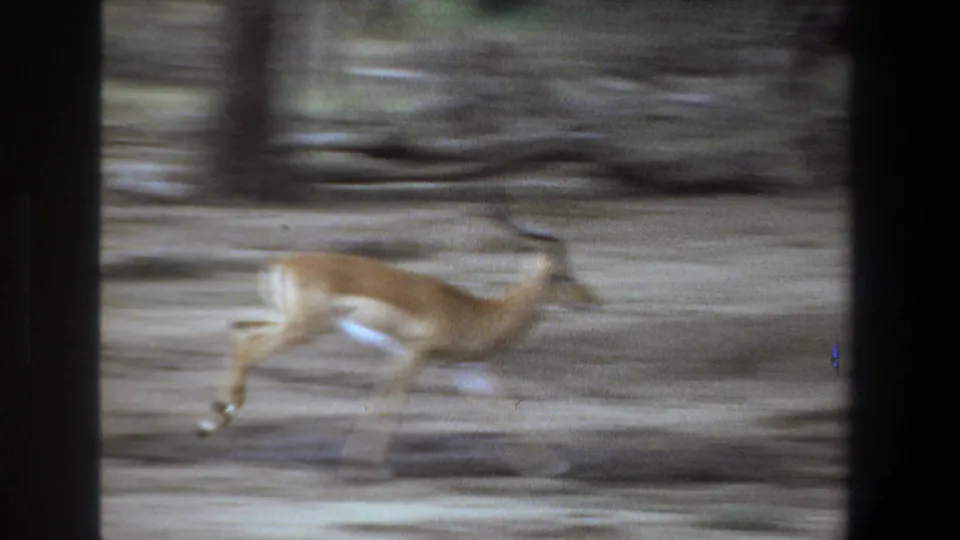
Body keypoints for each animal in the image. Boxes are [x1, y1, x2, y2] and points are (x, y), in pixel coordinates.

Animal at [196, 201, 601, 477]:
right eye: (563, 275)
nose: (593, 300)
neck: (476, 312)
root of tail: (281, 263)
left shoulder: (466, 368)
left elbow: (502, 408)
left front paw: (551, 466)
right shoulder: (413, 354)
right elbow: (390, 402)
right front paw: (366, 463)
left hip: (287, 322)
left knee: (240, 333)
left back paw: (214, 419)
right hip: (304, 328)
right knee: (249, 347)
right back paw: (211, 424)